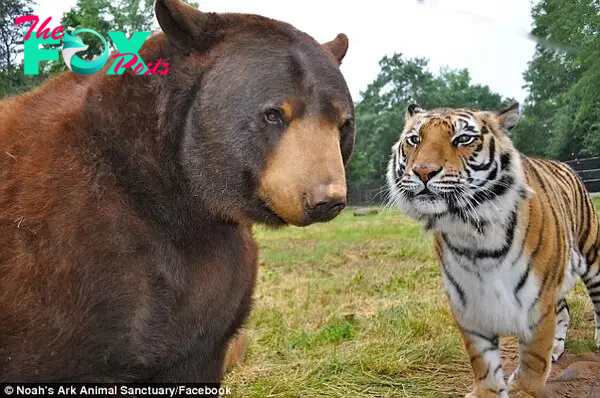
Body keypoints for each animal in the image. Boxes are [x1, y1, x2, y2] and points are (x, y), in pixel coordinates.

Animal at [384, 103, 600, 398]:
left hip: (592, 254)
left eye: (463, 139)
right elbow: (482, 358)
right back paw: (557, 348)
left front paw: (524, 390)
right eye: (415, 139)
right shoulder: (467, 300)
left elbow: (534, 356)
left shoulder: (539, 300)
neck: (474, 233)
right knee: (564, 310)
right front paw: (488, 391)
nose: (423, 171)